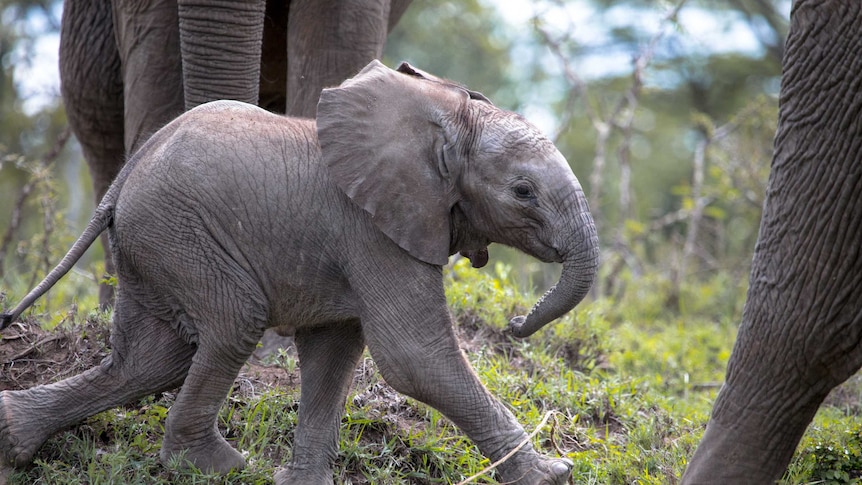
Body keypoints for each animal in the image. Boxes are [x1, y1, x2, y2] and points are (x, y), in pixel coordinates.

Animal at [0, 61, 596, 484]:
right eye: (523, 192)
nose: (517, 323)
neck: (439, 121)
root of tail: (123, 178)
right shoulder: (371, 230)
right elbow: (414, 358)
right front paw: (552, 476)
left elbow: (334, 354)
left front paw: (304, 483)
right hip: (178, 232)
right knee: (231, 325)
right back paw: (218, 466)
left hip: (152, 245)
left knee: (150, 360)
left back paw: (13, 439)